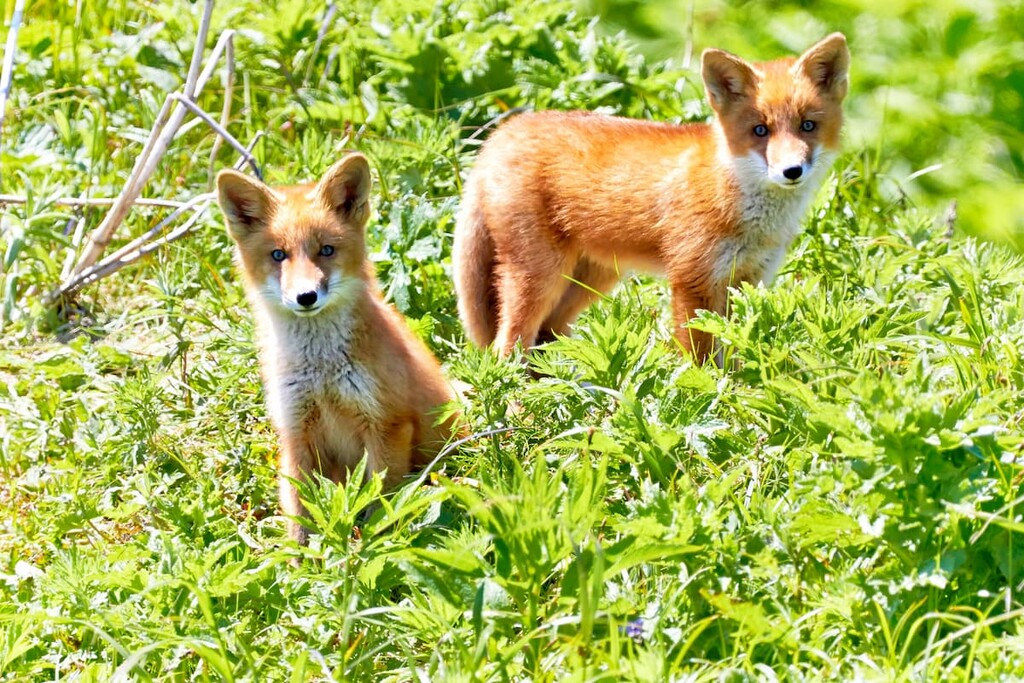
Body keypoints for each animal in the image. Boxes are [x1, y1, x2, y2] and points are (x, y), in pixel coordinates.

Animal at [216, 153, 460, 547]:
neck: (322, 373)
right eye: (279, 255)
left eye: (326, 250)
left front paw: (376, 545)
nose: (306, 296)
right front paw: (302, 561)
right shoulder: (296, 433)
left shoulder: (387, 425)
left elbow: (381, 504)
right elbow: (301, 514)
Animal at [453, 33, 850, 363]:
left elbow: (737, 352)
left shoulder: (748, 282)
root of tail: (501, 132)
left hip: (591, 278)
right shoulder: (693, 280)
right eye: (760, 131)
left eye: (808, 126)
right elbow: (701, 359)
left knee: (546, 338)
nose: (792, 171)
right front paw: (707, 395)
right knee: (508, 345)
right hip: (541, 276)